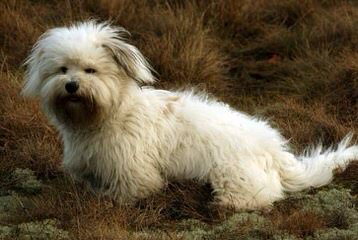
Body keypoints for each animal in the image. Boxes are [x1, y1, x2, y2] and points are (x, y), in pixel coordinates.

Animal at [23, 21, 358, 211]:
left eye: (90, 70)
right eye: (62, 69)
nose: (71, 85)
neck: (109, 113)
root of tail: (276, 151)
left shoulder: (134, 170)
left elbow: (132, 192)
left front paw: (112, 201)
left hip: (232, 173)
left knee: (261, 196)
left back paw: (223, 204)